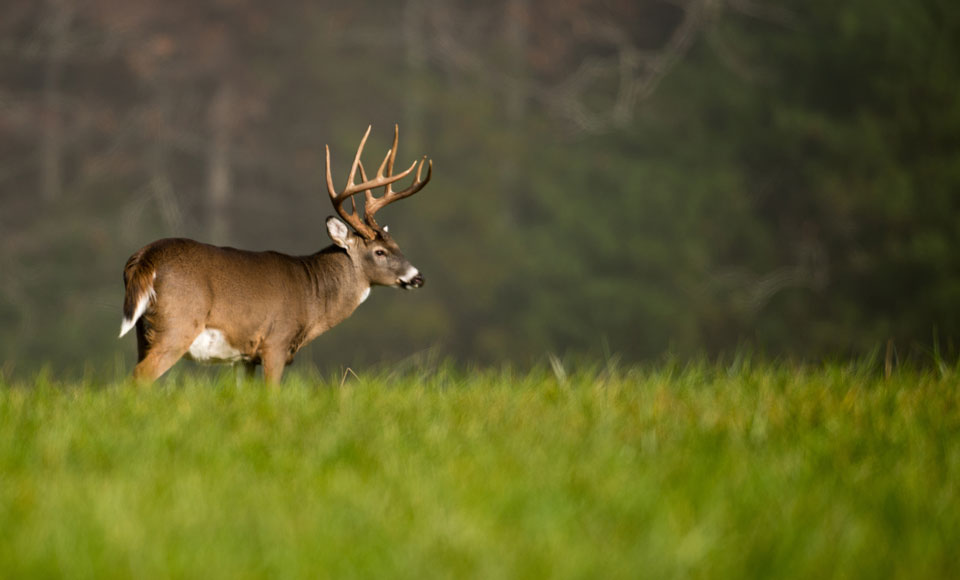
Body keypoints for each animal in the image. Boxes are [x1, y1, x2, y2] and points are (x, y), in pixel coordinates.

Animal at [119, 124, 432, 382]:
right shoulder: (275, 343)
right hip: (177, 325)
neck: (312, 295)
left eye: (397, 246)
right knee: (139, 377)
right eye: (379, 252)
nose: (418, 277)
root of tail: (145, 257)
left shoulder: (244, 357)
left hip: (143, 333)